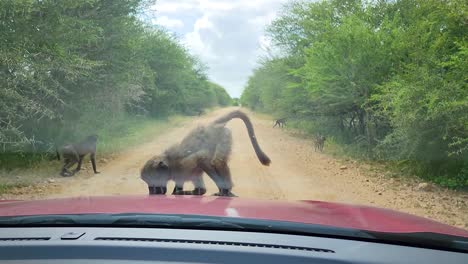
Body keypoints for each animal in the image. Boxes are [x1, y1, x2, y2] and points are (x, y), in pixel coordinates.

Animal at [140, 110, 270, 197]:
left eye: (151, 181)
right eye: (147, 182)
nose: (151, 192)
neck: (170, 165)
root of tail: (211, 126)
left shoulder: (186, 163)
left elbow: (202, 158)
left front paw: (223, 190)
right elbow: (197, 189)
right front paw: (183, 191)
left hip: (224, 134)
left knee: (218, 162)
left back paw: (226, 191)